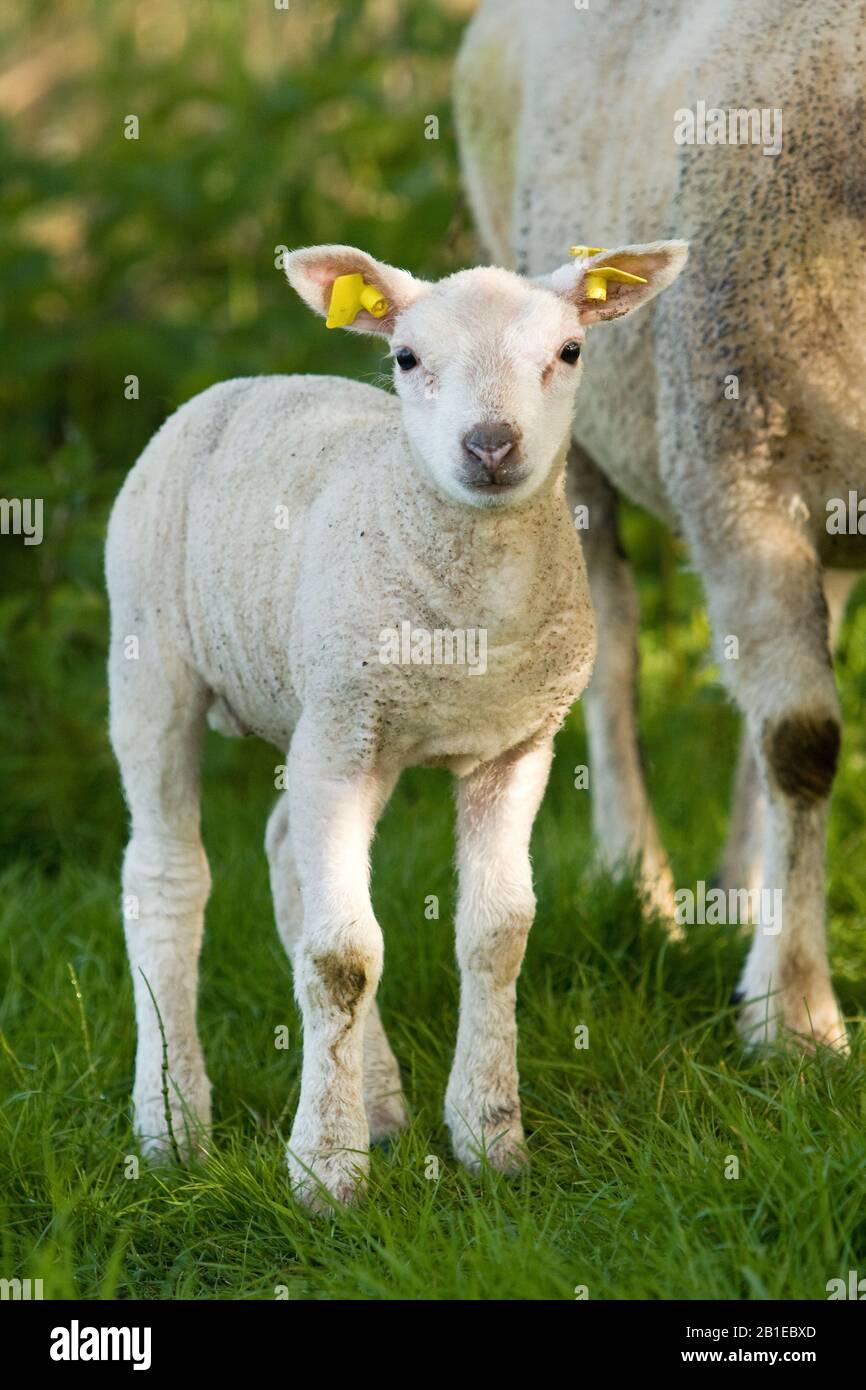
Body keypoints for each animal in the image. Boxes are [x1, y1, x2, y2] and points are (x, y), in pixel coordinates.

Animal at [106, 240, 687, 1207]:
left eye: (569, 351)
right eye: (407, 358)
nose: (490, 444)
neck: (471, 619)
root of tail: (244, 385)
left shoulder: (516, 745)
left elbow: (497, 935)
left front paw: (490, 1138)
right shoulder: (343, 741)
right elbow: (343, 957)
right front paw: (325, 1173)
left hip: (312, 713)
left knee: (286, 859)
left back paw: (376, 1100)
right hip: (157, 659)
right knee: (165, 878)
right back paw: (174, 1125)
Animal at [455, 0, 865, 1052]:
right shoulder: (740, 472)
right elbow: (803, 741)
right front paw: (794, 1017)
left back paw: (743, 888)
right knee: (614, 648)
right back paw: (637, 887)